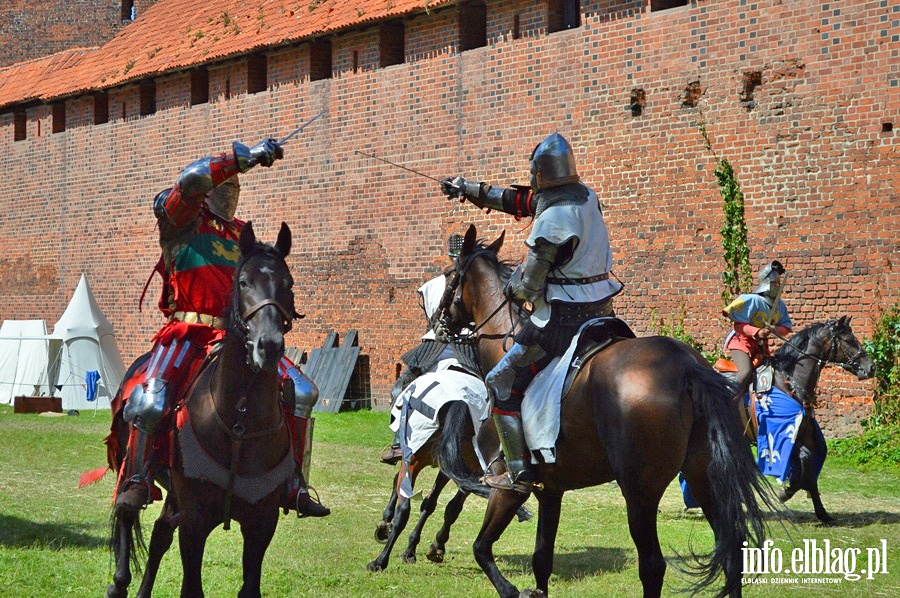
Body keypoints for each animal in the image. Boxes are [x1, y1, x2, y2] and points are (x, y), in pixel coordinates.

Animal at [105, 224, 296, 598]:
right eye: (243, 282)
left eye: (288, 283)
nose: (268, 346)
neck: (240, 421)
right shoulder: (195, 520)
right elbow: (192, 587)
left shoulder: (262, 522)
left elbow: (249, 588)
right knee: (126, 509)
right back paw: (119, 583)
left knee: (160, 532)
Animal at [436, 226, 780, 598]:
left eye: (449, 274)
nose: (439, 323)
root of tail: (686, 367)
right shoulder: (550, 491)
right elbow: (542, 560)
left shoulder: (508, 487)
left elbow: (482, 548)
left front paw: (513, 590)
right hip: (703, 477)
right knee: (731, 550)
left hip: (639, 492)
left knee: (653, 565)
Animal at [732, 316, 872, 524]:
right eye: (849, 340)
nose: (871, 367)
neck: (787, 383)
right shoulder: (784, 435)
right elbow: (805, 462)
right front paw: (785, 492)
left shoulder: (805, 436)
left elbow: (810, 471)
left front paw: (822, 513)